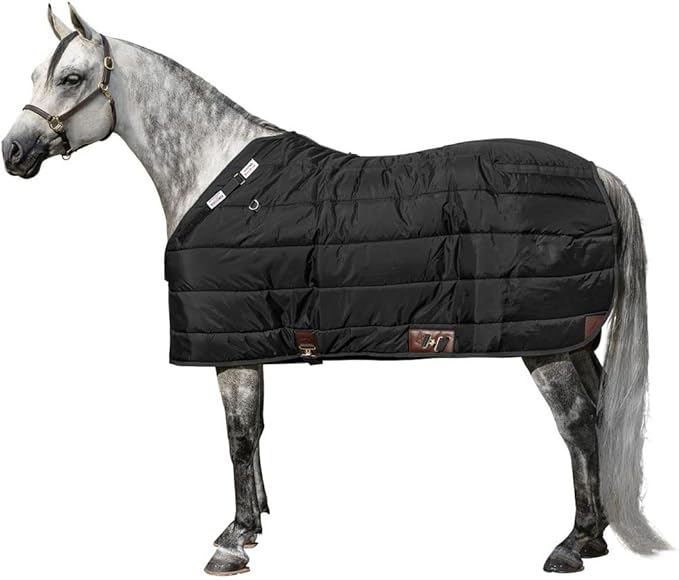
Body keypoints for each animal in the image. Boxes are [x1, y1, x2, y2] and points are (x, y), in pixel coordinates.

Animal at [1, 5, 670, 576]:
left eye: (71, 78)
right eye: (36, 73)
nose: (14, 151)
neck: (218, 178)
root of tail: (597, 174)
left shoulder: (231, 343)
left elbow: (238, 435)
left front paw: (233, 540)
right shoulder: (252, 339)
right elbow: (255, 430)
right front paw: (253, 524)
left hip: (546, 341)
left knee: (577, 422)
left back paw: (572, 543)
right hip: (574, 337)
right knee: (597, 414)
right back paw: (595, 535)